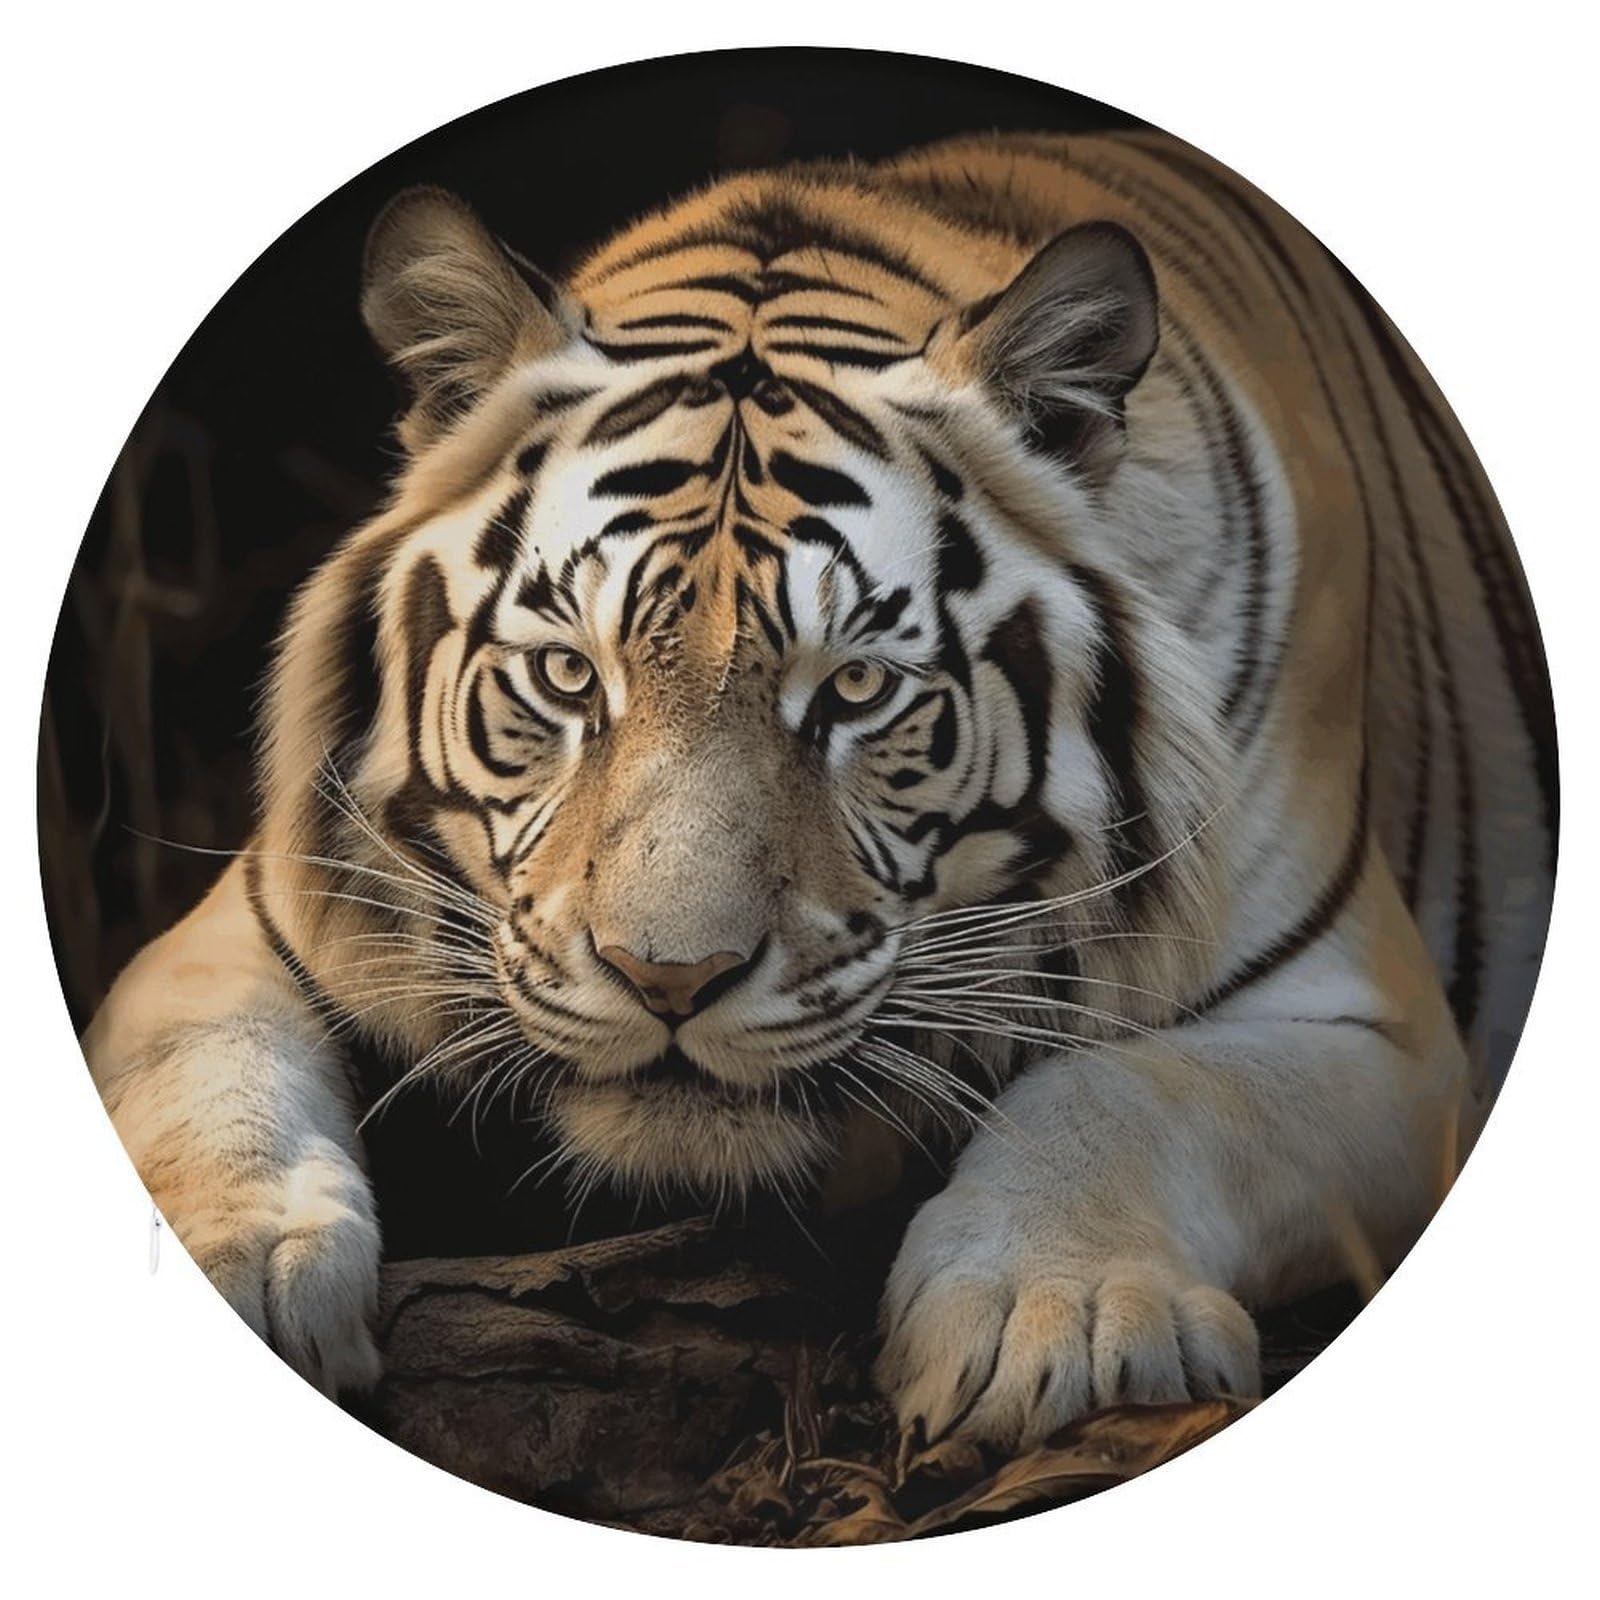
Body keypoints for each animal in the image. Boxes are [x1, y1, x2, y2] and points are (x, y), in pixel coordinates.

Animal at [83, 127, 1556, 1448]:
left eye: (853, 689)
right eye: (566, 673)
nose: (667, 979)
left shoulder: (1381, 1037)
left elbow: (1137, 1093)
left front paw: (1055, 1309)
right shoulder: (236, 931)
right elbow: (201, 1078)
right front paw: (237, 1267)